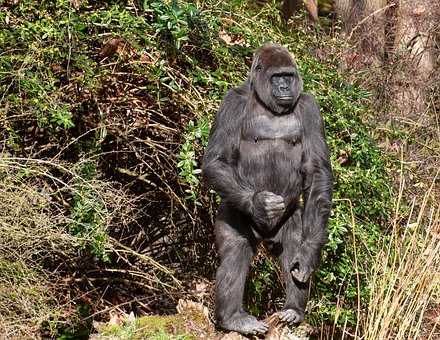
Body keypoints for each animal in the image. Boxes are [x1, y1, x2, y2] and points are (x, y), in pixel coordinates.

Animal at [203, 43, 334, 334]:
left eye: (288, 75)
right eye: (277, 77)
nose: (285, 87)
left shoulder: (309, 106)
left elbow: (317, 172)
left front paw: (308, 255)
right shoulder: (232, 102)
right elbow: (216, 161)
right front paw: (259, 204)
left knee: (293, 245)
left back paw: (294, 309)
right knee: (236, 250)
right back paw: (233, 318)